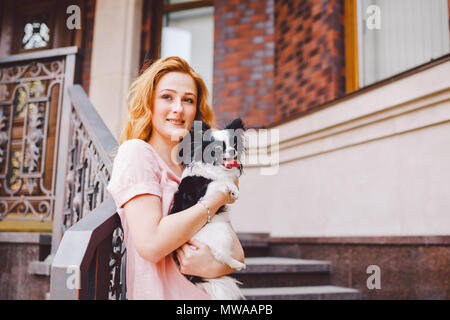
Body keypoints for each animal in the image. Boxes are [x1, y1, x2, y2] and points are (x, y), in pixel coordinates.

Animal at [169, 117, 246, 300]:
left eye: (234, 143)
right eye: (217, 148)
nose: (233, 151)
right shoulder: (205, 193)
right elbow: (218, 181)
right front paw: (232, 187)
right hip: (222, 231)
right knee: (220, 255)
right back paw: (237, 264)